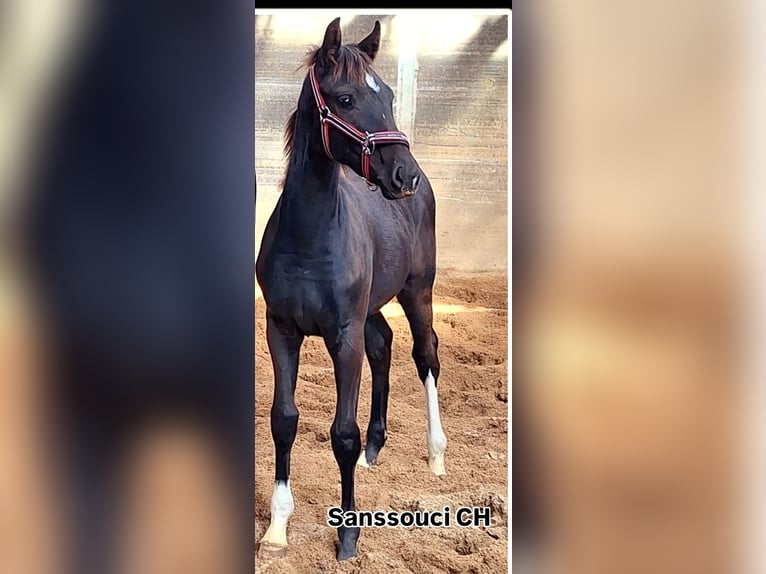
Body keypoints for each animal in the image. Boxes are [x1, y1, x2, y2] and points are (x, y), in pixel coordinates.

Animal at [258, 16, 450, 564]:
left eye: (388, 94)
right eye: (344, 99)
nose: (404, 175)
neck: (308, 238)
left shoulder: (343, 335)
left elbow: (340, 433)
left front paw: (347, 535)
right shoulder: (281, 331)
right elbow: (284, 419)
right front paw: (276, 528)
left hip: (418, 292)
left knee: (426, 354)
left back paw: (435, 455)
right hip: (373, 308)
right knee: (383, 344)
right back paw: (374, 449)